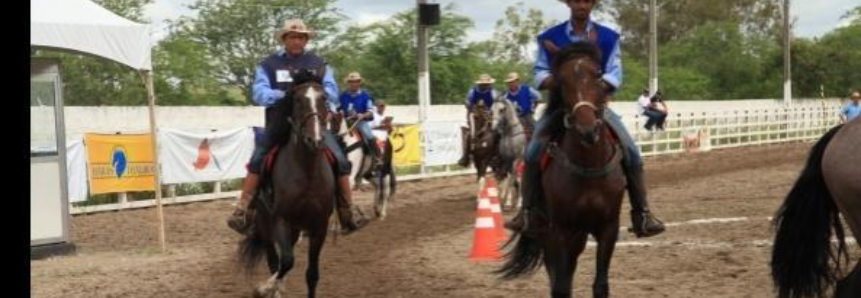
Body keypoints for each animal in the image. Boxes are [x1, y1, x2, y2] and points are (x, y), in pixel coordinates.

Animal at [239, 75, 332, 298]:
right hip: (265, 225)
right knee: (275, 260)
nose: (315, 139)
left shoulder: (320, 225)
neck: (307, 173)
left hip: (296, 229)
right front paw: (264, 288)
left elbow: (312, 274)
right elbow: (286, 262)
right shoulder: (281, 220)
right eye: (297, 100)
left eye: (324, 98)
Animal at [498, 42, 624, 298]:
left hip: (579, 236)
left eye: (598, 75)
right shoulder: (559, 231)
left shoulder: (608, 229)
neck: (588, 166)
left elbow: (600, 285)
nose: (587, 129)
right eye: (561, 80)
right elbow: (561, 286)